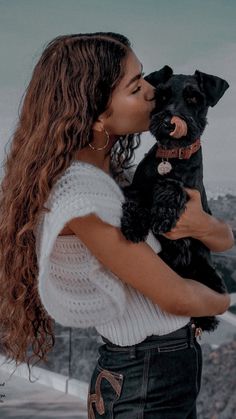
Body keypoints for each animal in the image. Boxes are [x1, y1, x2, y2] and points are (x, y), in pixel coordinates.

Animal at [121, 65, 230, 334]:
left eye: (193, 98)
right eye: (162, 96)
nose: (169, 122)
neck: (171, 157)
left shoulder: (190, 191)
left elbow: (173, 187)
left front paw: (162, 215)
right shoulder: (138, 186)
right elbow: (135, 198)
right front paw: (133, 225)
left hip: (210, 275)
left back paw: (206, 320)